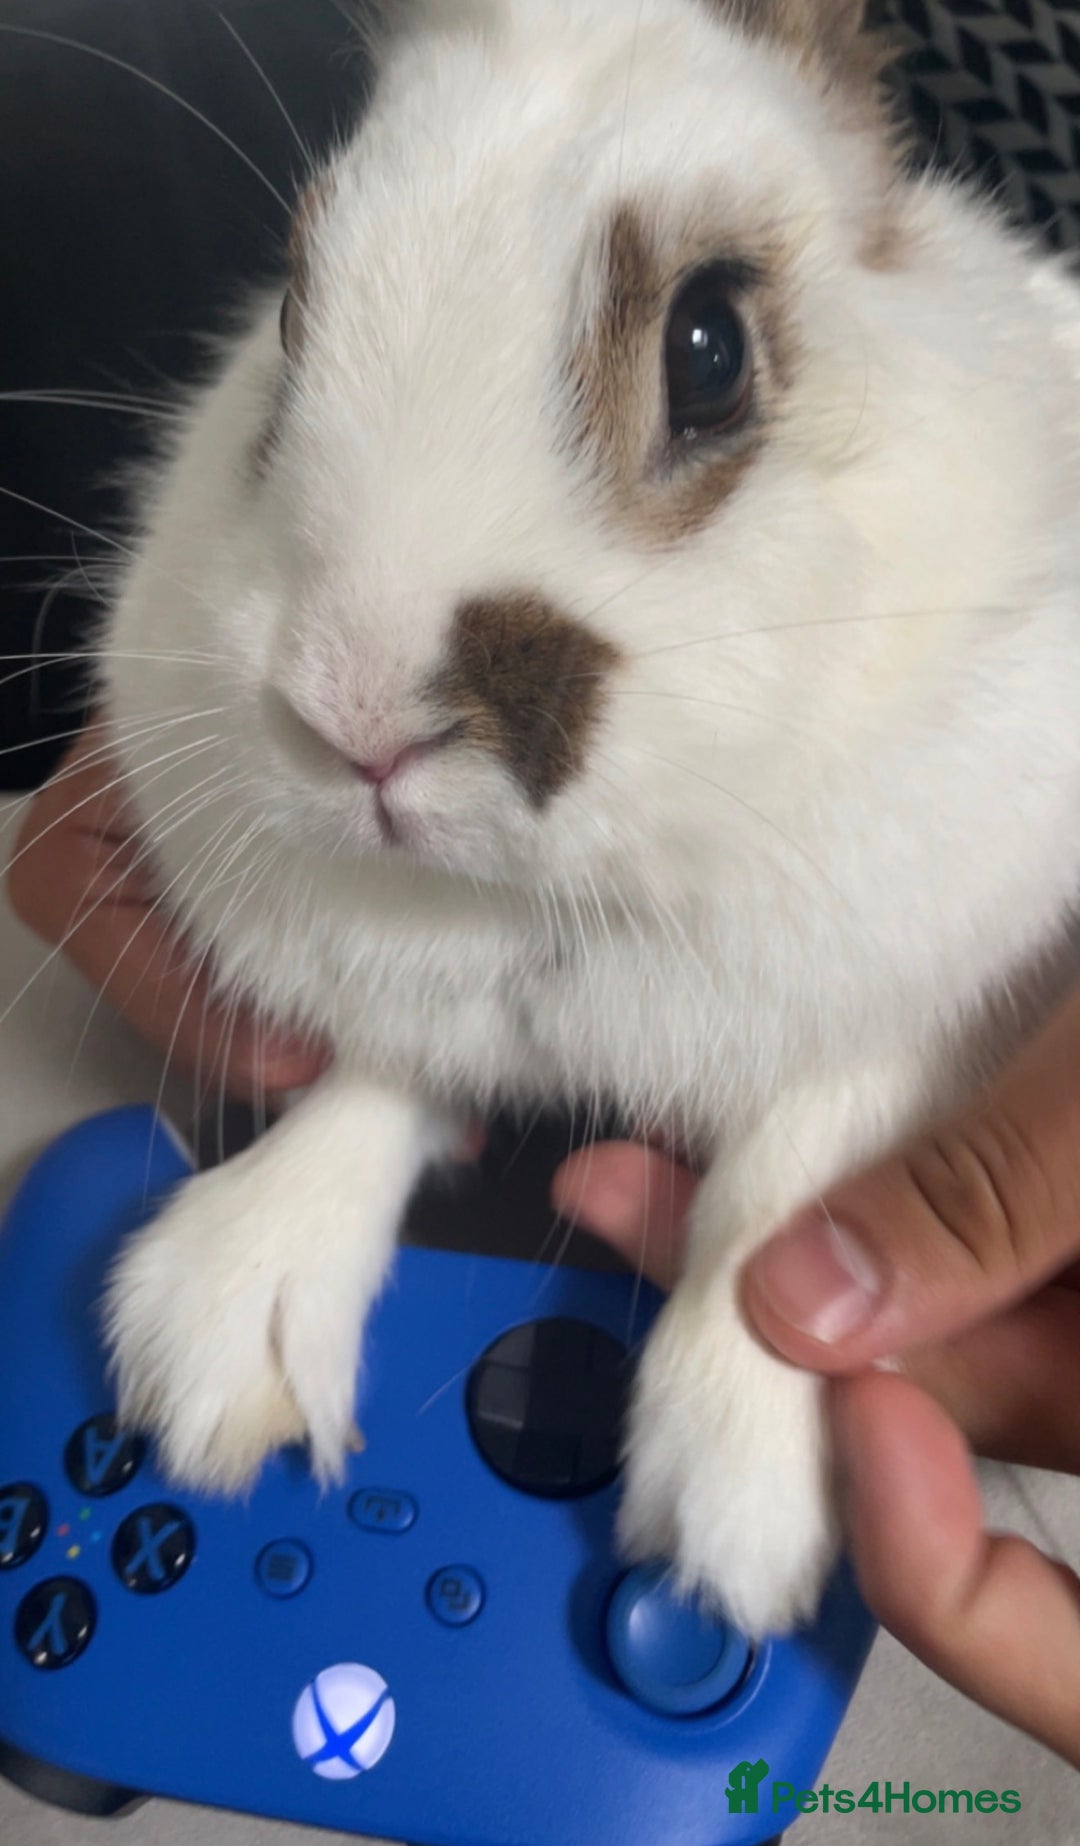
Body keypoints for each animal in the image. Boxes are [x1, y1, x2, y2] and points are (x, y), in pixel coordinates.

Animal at [99, 0, 1080, 1639]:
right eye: (292, 314)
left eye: (710, 348)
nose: (358, 716)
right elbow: (377, 1077)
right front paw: (225, 1326)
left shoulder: (927, 986)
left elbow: (794, 1176)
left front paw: (741, 1507)